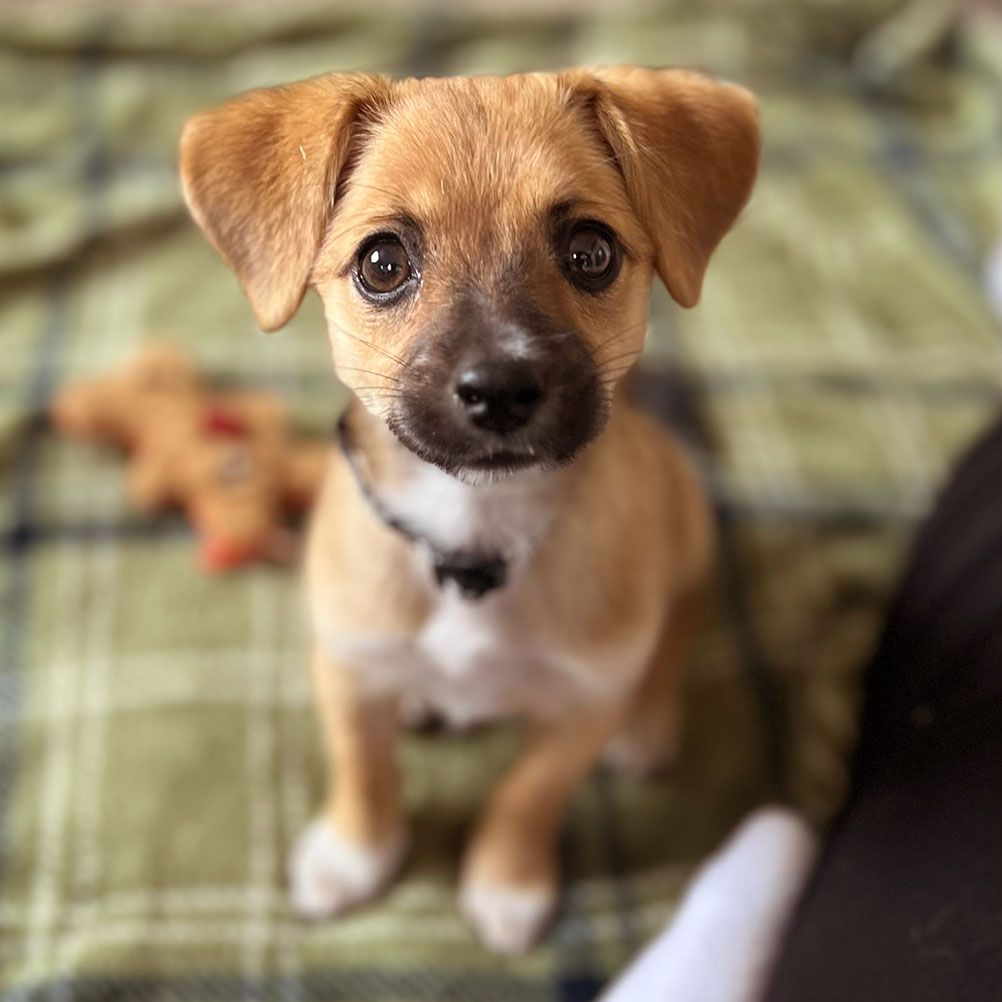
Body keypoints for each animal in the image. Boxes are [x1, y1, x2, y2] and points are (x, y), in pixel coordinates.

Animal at [182, 66, 757, 949]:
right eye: (384, 263)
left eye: (591, 252)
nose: (502, 389)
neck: (472, 537)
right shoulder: (347, 667)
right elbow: (365, 770)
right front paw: (354, 857)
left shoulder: (582, 706)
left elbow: (527, 796)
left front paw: (506, 884)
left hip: (688, 532)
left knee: (680, 623)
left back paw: (649, 722)